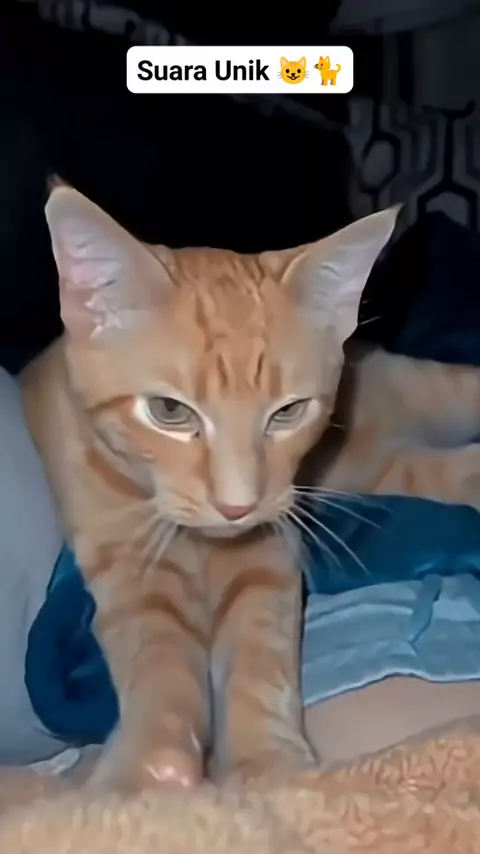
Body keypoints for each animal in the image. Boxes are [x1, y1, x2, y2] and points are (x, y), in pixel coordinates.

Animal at [21, 187, 480, 793]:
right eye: (169, 412)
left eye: (288, 412)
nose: (236, 507)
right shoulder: (127, 564)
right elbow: (156, 650)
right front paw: (148, 764)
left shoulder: (267, 551)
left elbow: (259, 653)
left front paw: (267, 762)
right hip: (384, 466)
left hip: (418, 410)